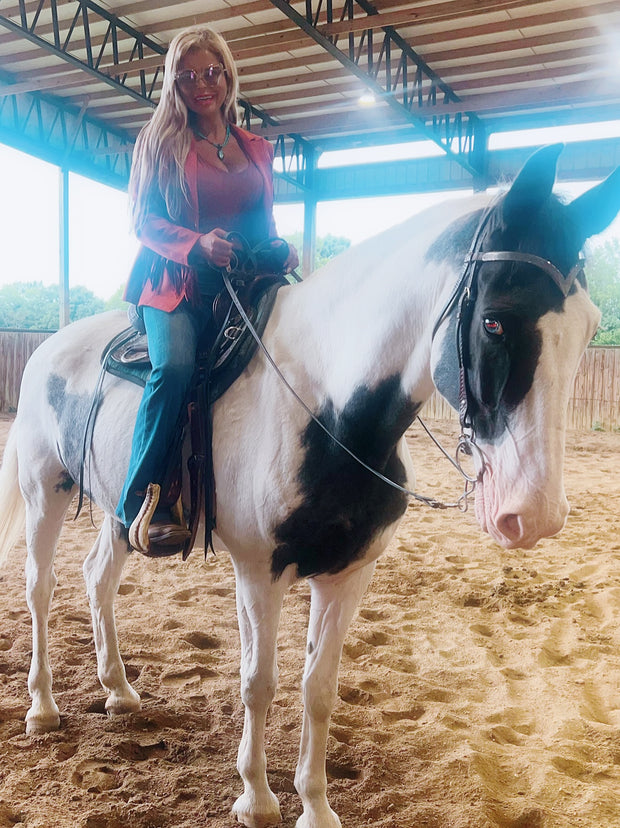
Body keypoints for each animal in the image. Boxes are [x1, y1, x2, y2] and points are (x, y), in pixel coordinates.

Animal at [0, 144, 616, 828]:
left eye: (589, 327)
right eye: (495, 322)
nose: (534, 515)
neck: (330, 409)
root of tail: (51, 348)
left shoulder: (349, 573)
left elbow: (319, 687)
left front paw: (316, 806)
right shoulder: (258, 572)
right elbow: (259, 681)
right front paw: (256, 797)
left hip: (122, 509)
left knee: (98, 578)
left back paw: (119, 691)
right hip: (45, 492)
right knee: (41, 587)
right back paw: (42, 707)